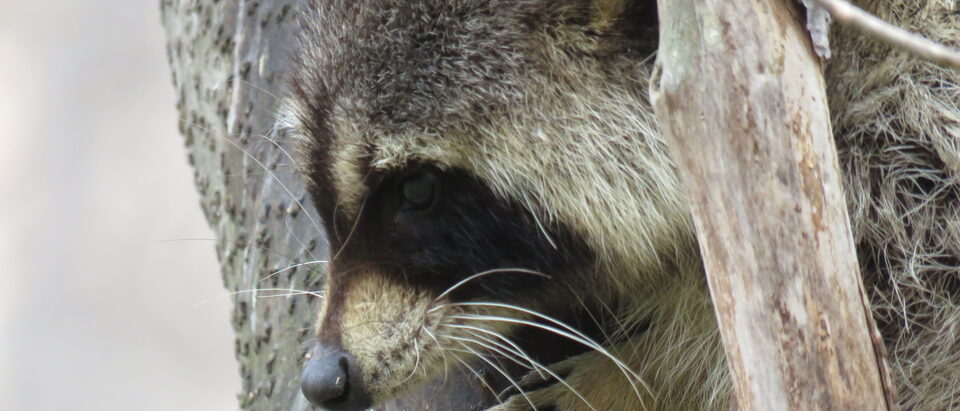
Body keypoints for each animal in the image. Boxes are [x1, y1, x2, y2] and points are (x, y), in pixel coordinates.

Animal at [283, 0, 960, 409]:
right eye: (317, 184)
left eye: (417, 190)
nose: (323, 378)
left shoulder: (910, 120)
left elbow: (922, 317)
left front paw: (652, 375)